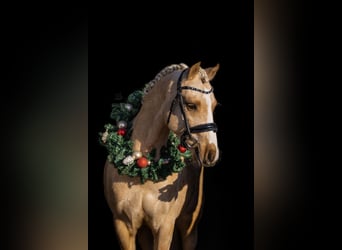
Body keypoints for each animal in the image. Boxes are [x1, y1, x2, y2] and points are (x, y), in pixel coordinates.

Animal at [100, 61, 220, 250]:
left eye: (214, 105)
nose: (211, 152)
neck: (141, 169)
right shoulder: (124, 226)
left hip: (189, 226)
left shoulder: (164, 227)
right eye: (191, 105)